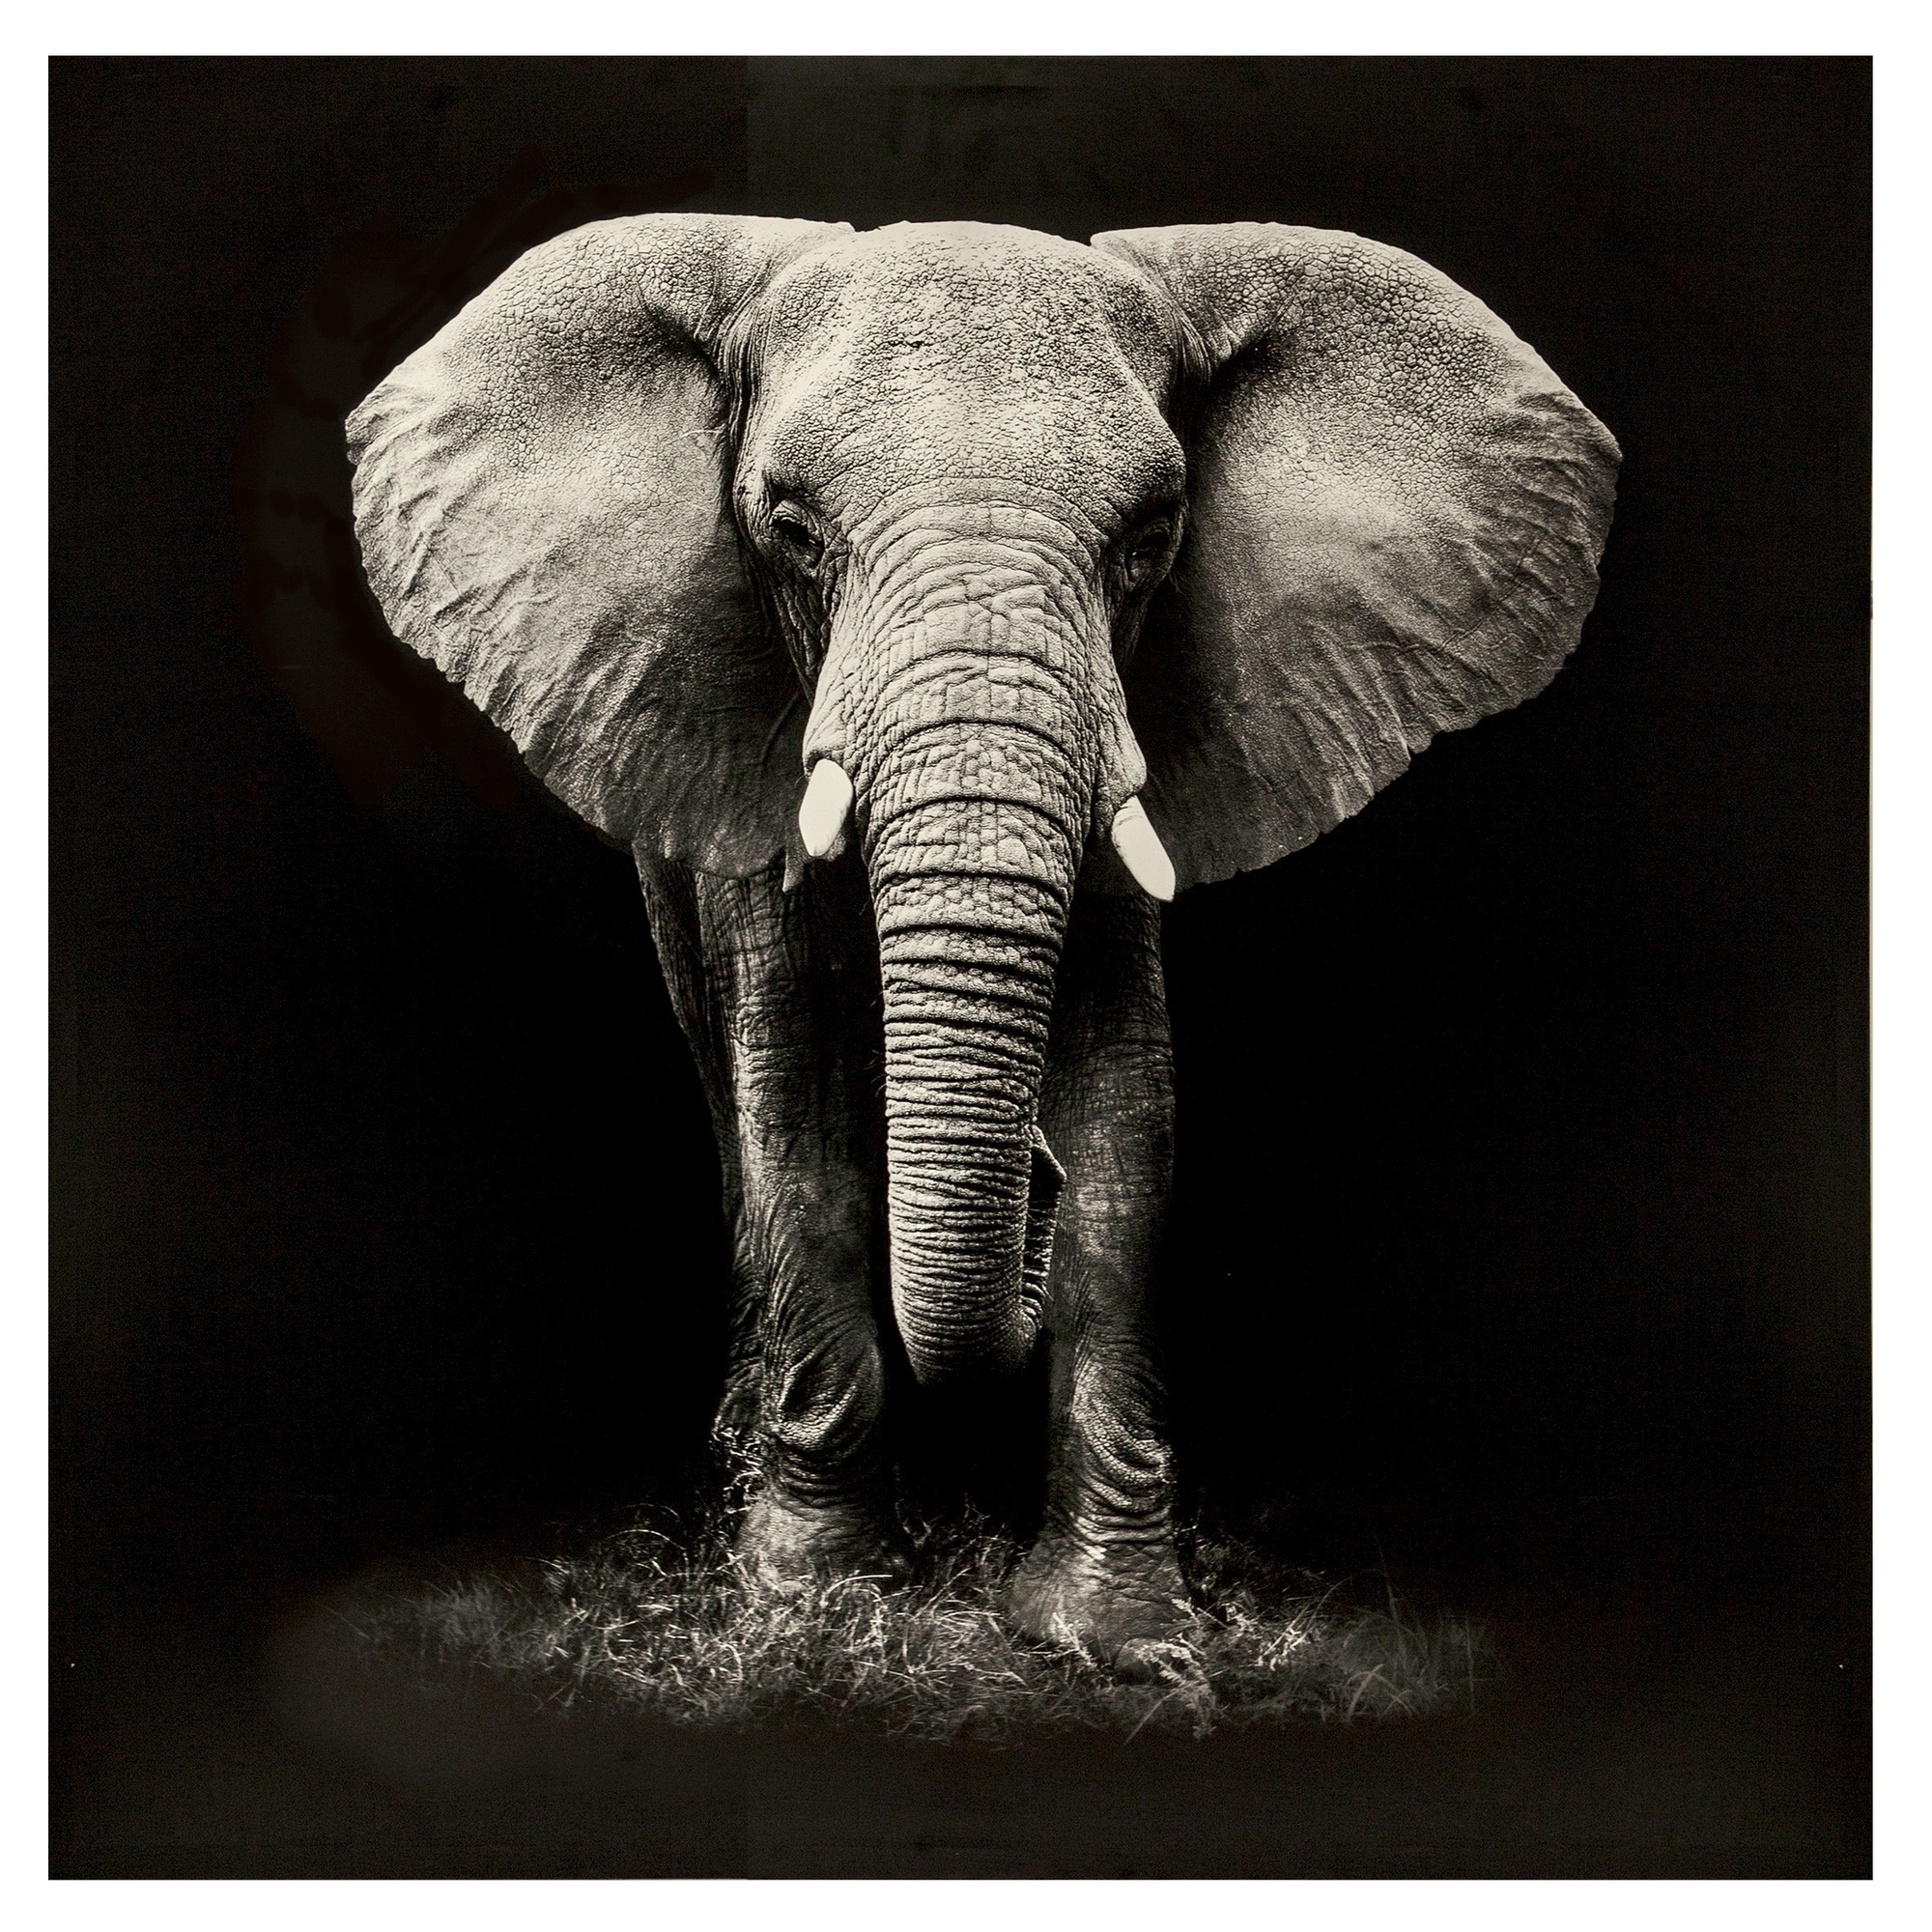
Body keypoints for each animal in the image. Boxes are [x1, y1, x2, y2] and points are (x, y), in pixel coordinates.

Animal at [345, 214, 1618, 1669]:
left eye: (1151, 537)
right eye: (790, 531)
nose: (1030, 1185)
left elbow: (1130, 1127)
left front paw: (1117, 1634)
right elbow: (799, 1124)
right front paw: (813, 1604)